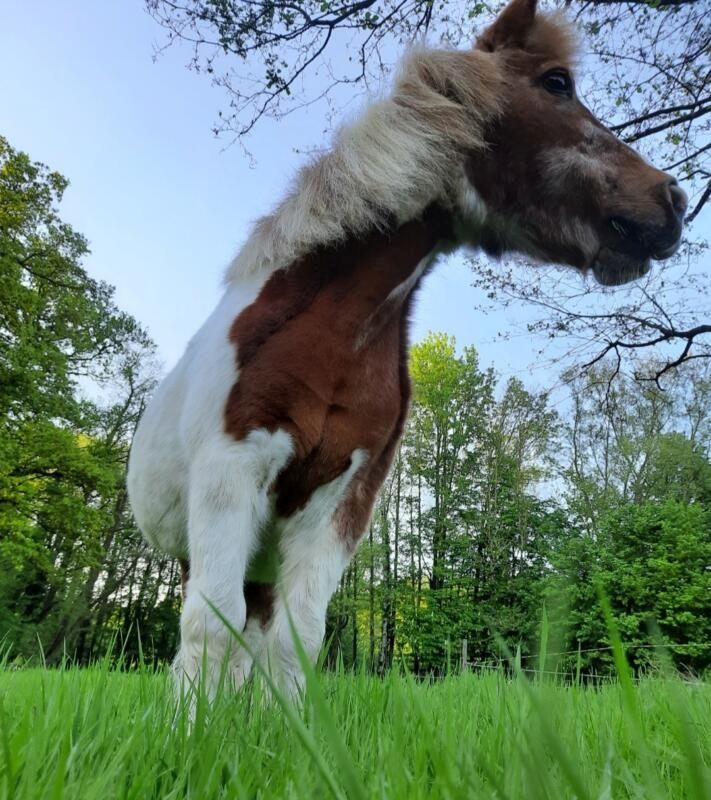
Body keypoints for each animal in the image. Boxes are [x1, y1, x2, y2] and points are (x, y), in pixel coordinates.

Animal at [127, 0, 687, 700]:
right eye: (558, 83)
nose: (674, 201)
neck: (335, 335)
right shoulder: (232, 472)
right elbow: (209, 628)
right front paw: (192, 729)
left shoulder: (343, 502)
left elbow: (295, 643)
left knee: (254, 638)